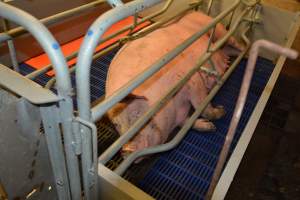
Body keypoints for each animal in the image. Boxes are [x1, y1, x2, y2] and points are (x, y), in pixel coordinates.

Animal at [105, 10, 244, 159]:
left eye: (137, 114)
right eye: (116, 125)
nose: (126, 150)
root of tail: (196, 11)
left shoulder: (192, 80)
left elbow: (202, 106)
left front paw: (221, 112)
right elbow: (186, 123)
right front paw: (208, 126)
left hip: (219, 30)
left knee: (234, 40)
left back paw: (246, 52)